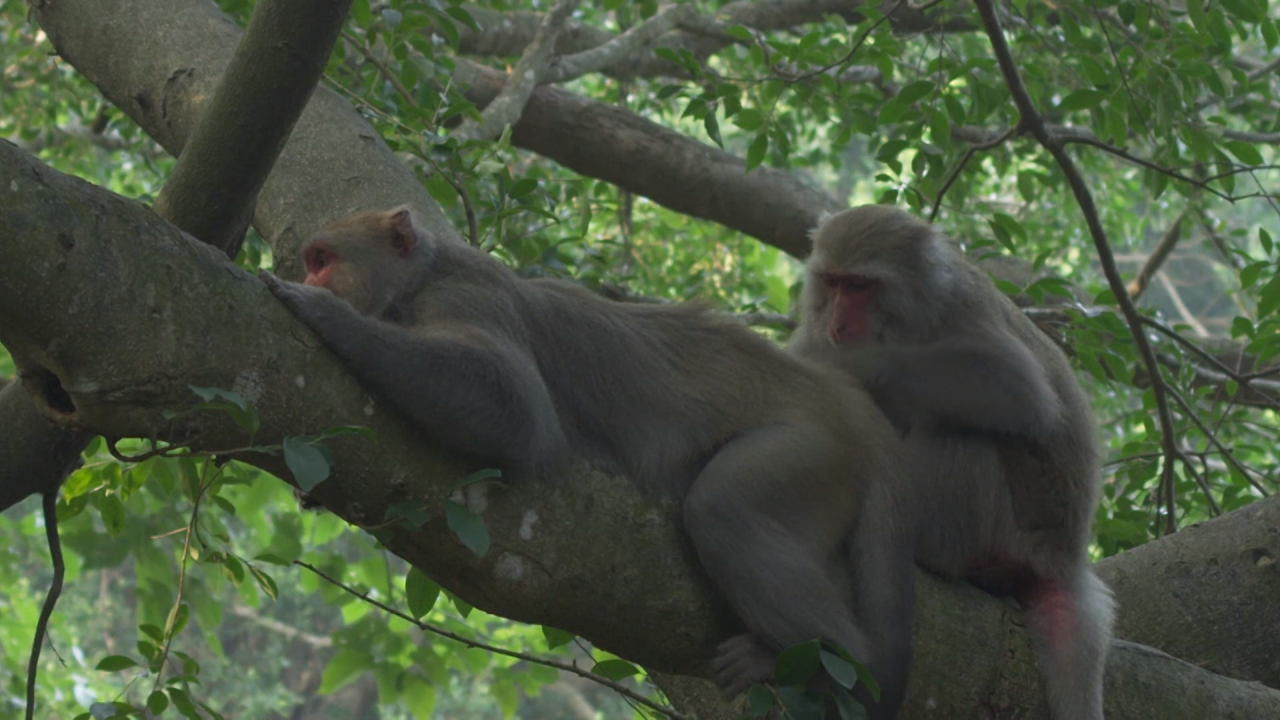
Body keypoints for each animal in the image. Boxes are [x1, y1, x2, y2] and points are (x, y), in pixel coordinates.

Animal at [257, 206, 911, 712]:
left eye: (321, 259)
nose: (302, 272)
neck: (417, 284)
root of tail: (843, 402)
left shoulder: (468, 297)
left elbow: (515, 406)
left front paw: (326, 313)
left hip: (808, 448)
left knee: (723, 505)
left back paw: (831, 656)